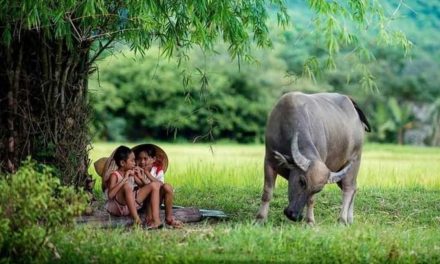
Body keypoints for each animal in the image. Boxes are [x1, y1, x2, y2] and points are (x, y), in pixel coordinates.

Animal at [256, 92, 370, 224]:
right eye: (301, 181)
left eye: (317, 190)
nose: (294, 215)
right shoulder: (269, 161)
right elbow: (267, 192)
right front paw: (260, 219)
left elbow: (311, 200)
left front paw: (310, 221)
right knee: (354, 187)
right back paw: (350, 219)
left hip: (355, 162)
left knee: (349, 189)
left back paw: (342, 220)